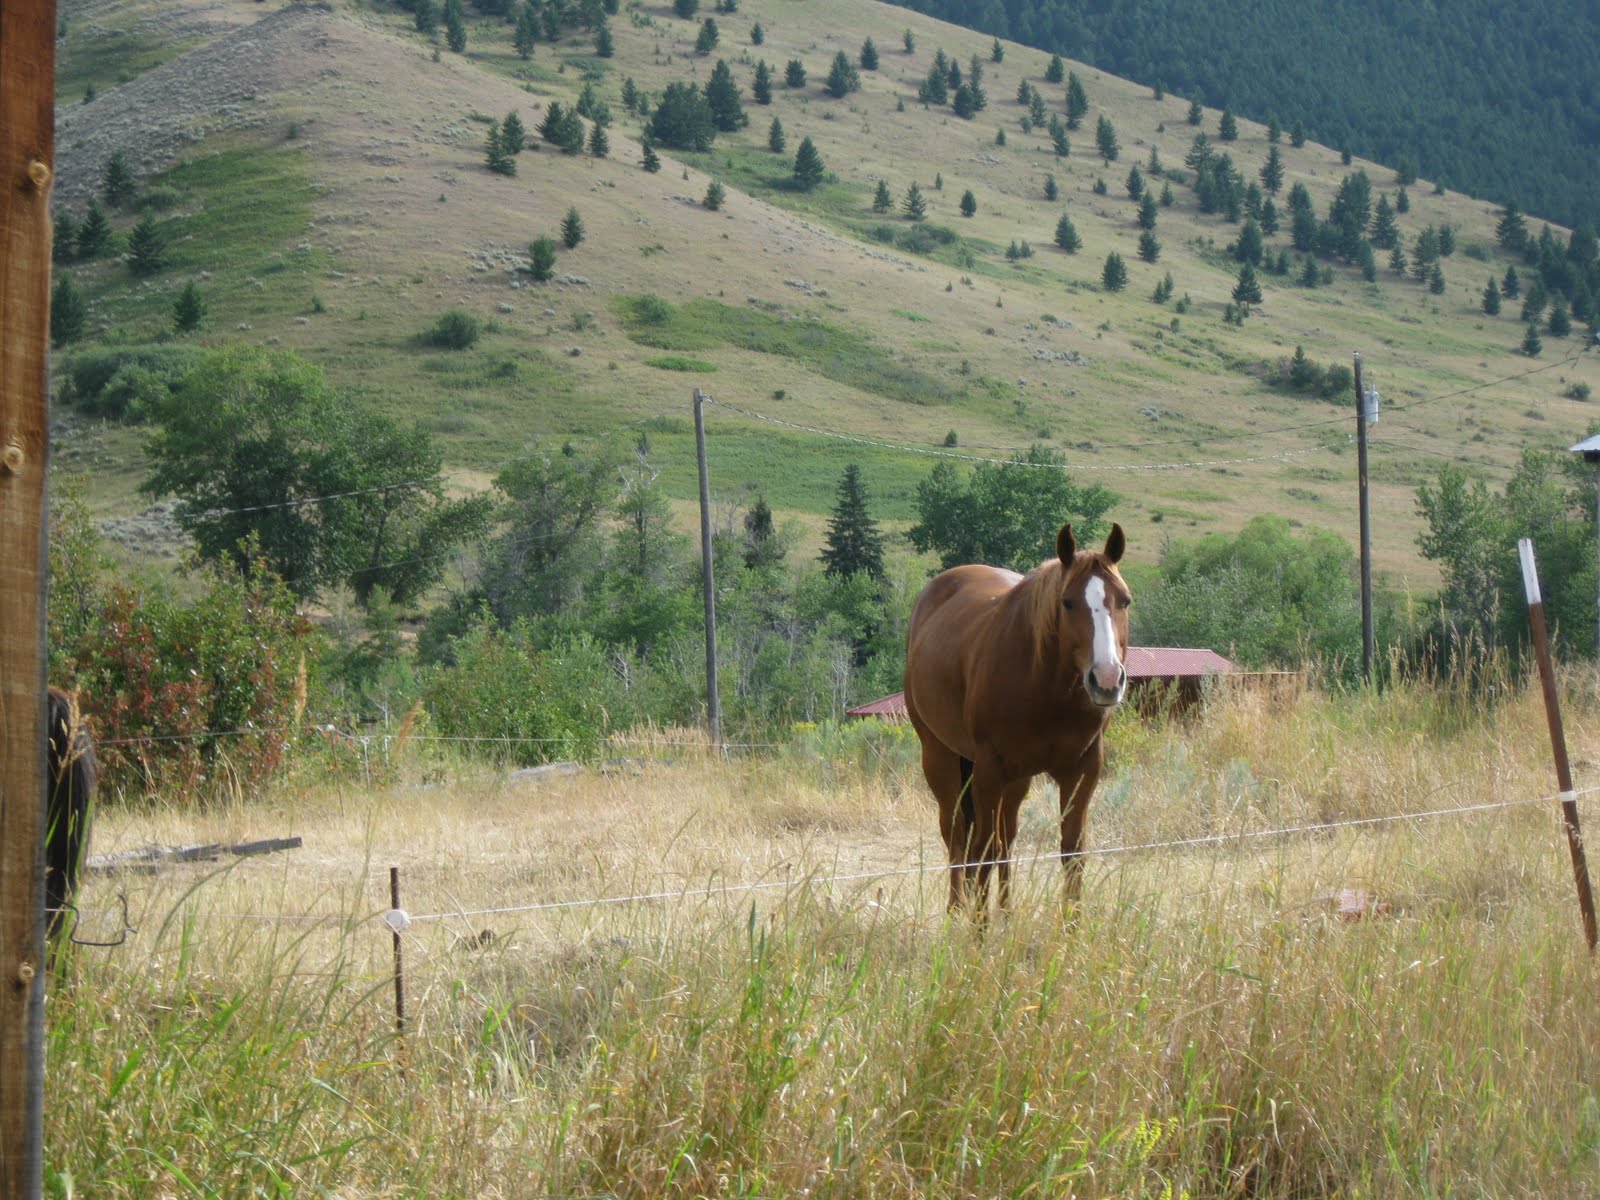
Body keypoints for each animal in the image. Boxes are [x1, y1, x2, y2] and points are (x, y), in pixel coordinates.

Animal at [904, 523, 1130, 915]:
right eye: (1068, 602)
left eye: (1124, 601)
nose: (1106, 679)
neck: (1046, 688)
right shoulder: (988, 771)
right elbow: (981, 852)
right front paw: (979, 929)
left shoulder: (1082, 770)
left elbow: (1071, 852)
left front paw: (1071, 925)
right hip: (941, 758)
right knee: (958, 836)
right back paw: (956, 912)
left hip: (1016, 780)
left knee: (1004, 839)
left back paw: (1007, 913)